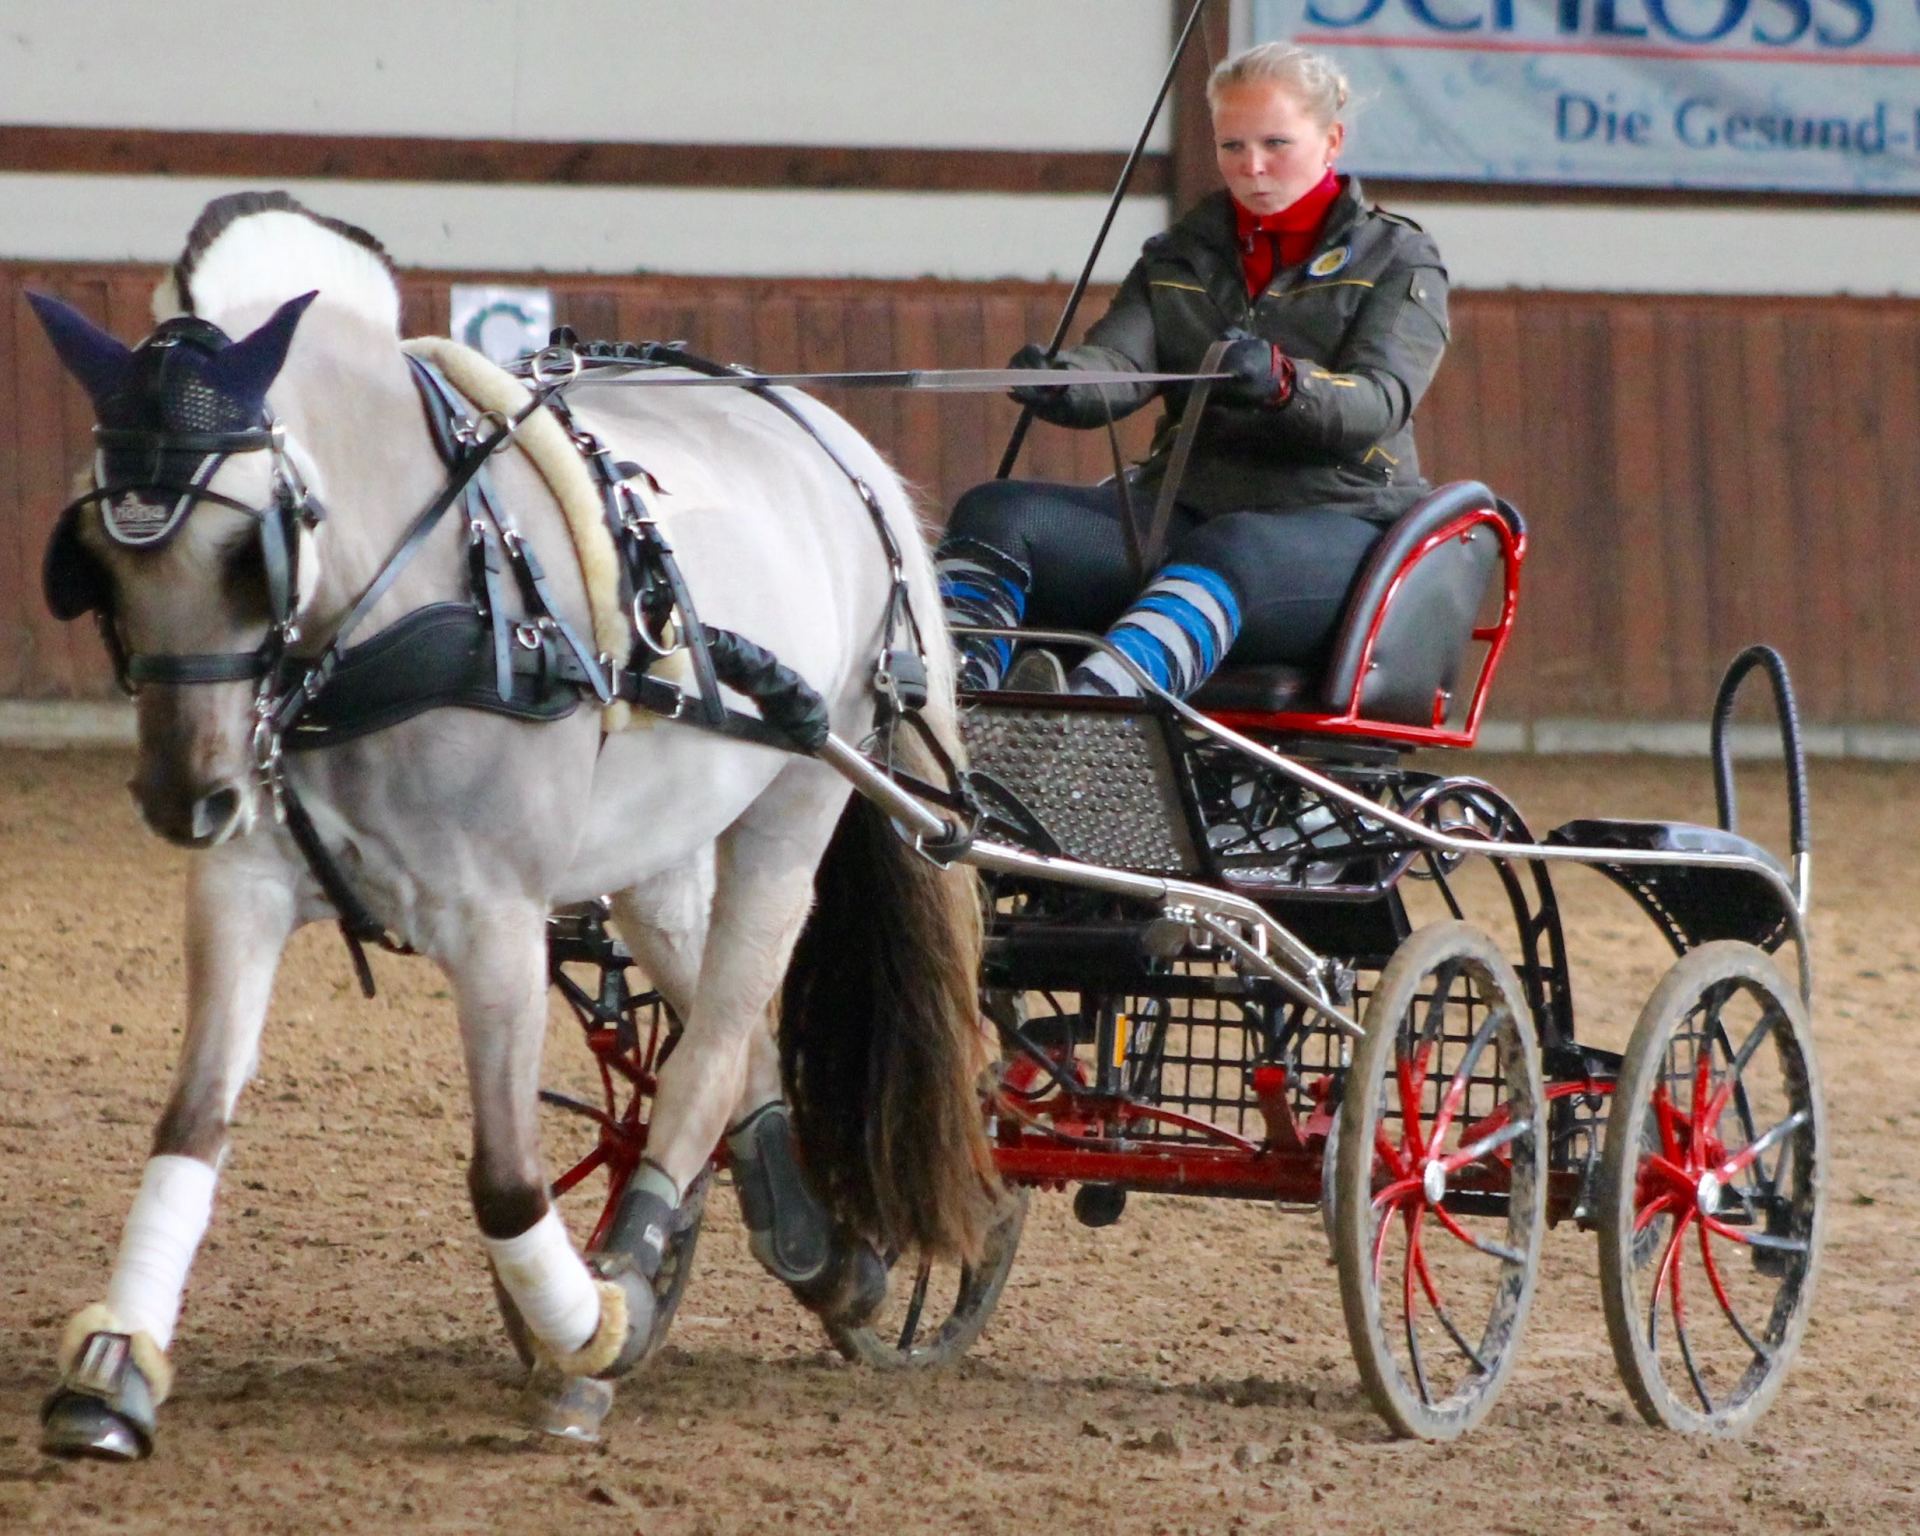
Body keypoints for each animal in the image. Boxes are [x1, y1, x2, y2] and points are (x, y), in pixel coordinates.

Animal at [27, 192, 996, 1459]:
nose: (187, 796)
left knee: (714, 1049)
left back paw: (628, 1289)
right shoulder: (243, 889)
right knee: (729, 1041)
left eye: (248, 551)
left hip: (800, 805)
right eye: (96, 559)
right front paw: (112, 1370)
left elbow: (502, 1176)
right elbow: (191, 1121)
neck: (406, 610)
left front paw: (585, 1329)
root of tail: (838, 444)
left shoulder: (497, 919)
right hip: (658, 846)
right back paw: (824, 1259)